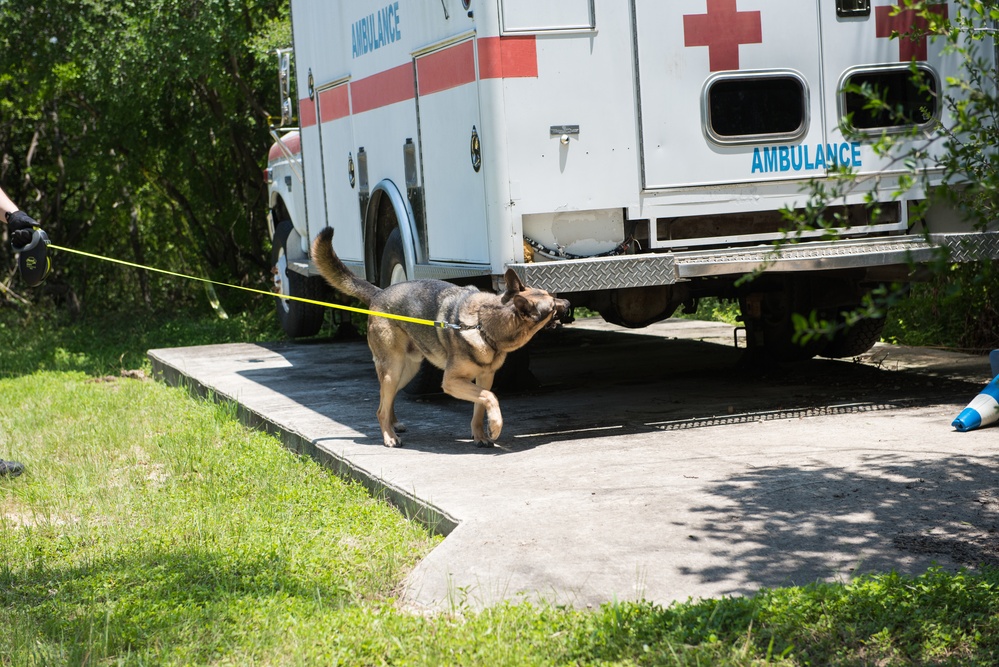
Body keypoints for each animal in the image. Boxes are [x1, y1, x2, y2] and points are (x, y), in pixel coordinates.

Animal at [308, 230, 576, 448]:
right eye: (552, 307)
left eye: (553, 297)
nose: (568, 301)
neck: (484, 324)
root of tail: (379, 293)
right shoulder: (452, 382)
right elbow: (491, 398)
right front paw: (496, 427)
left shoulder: (484, 378)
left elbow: (480, 406)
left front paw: (481, 435)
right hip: (393, 369)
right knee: (380, 409)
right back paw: (389, 436)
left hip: (406, 370)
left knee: (387, 399)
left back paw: (394, 424)